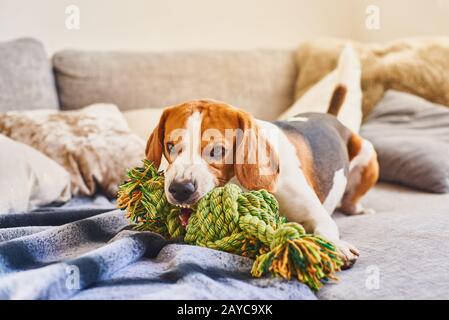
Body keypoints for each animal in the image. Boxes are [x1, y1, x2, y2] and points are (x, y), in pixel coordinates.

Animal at [145, 85, 376, 268]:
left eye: (217, 150)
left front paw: (336, 246)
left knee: (351, 202)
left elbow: (324, 229)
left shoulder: (317, 215)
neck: (239, 183)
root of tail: (329, 116)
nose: (180, 189)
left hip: (369, 155)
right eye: (170, 146)